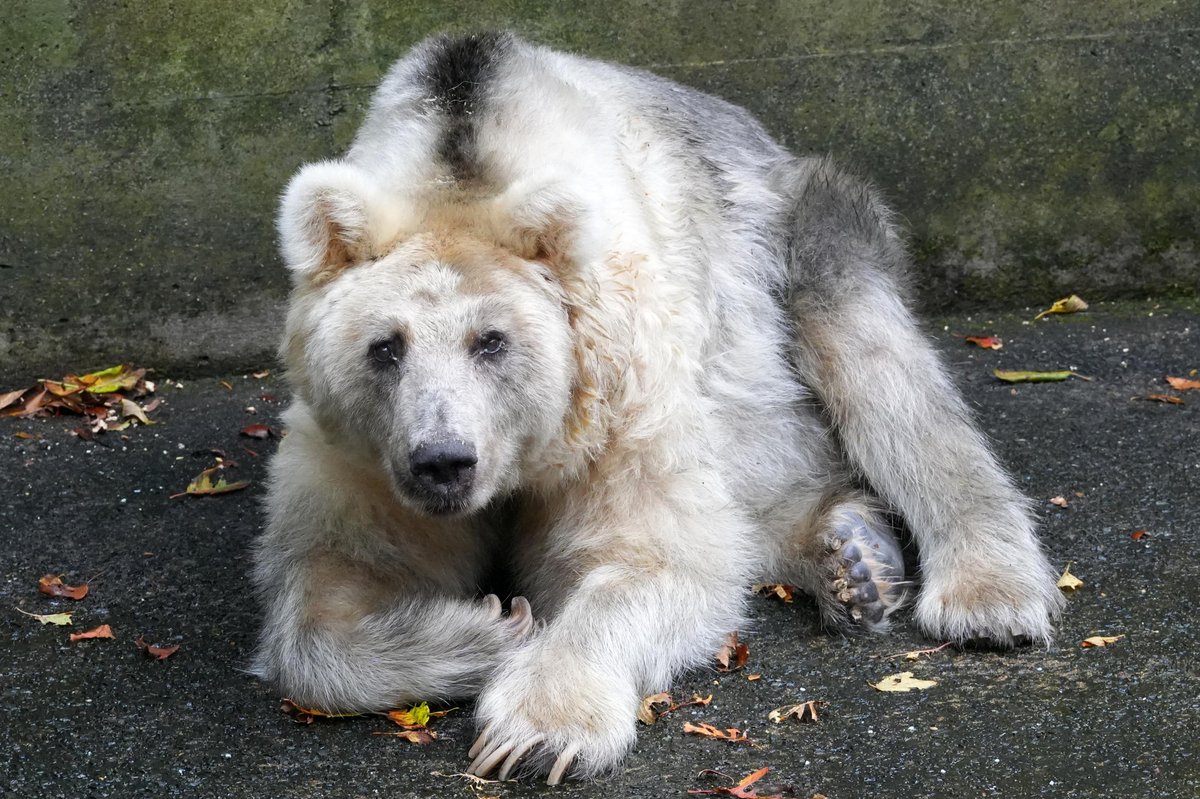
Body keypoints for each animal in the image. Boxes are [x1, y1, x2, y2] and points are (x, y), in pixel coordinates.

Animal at [252, 31, 1064, 784]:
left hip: (795, 243)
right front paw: (485, 627)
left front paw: (538, 729)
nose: (443, 462)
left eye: (493, 341)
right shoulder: (363, 453)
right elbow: (328, 598)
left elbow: (658, 557)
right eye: (385, 346)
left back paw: (985, 593)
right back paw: (852, 555)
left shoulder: (622, 401)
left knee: (885, 379)